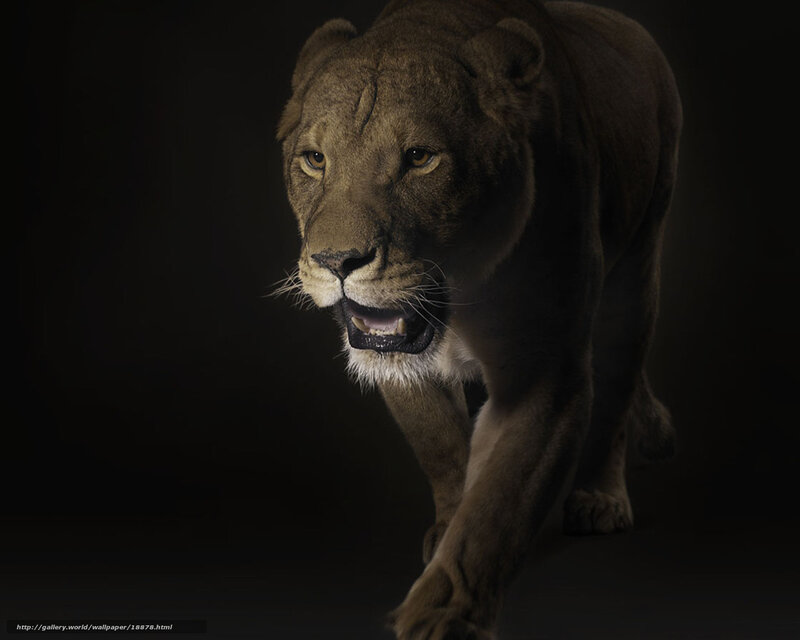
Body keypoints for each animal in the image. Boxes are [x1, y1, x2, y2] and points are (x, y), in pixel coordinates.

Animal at [277, 0, 681, 637]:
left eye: (419, 158)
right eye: (315, 160)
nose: (336, 262)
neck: (460, 298)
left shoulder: (545, 374)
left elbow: (498, 505)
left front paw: (442, 615)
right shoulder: (404, 368)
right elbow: (443, 449)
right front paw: (446, 527)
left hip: (639, 265)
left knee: (617, 385)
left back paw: (600, 498)